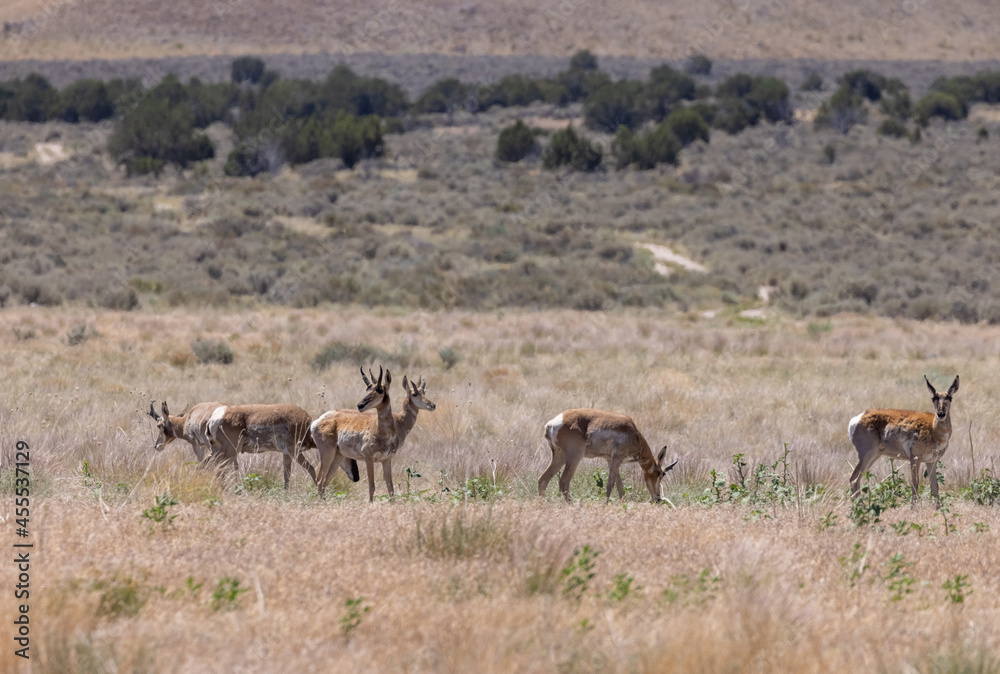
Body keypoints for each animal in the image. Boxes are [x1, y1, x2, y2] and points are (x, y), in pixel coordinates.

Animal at [208, 403, 359, 490]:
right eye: (348, 454)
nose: (357, 477)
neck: (307, 426)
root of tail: (215, 417)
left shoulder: (286, 454)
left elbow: (287, 474)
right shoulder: (294, 452)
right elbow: (311, 469)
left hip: (219, 452)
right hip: (231, 452)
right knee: (219, 469)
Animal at [313, 367, 431, 501]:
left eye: (380, 390)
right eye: (367, 389)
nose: (360, 405)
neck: (399, 420)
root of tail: (319, 420)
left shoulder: (387, 460)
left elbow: (390, 488)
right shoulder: (369, 459)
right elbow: (372, 487)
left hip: (338, 456)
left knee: (325, 480)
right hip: (327, 454)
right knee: (319, 480)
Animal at [539, 408, 678, 503]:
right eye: (661, 473)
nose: (658, 498)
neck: (634, 432)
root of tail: (552, 424)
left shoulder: (610, 460)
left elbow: (619, 485)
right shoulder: (617, 458)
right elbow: (610, 484)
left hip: (560, 457)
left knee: (543, 479)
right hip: (574, 457)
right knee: (563, 481)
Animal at [849, 375, 960, 507]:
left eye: (950, 398)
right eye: (933, 398)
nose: (941, 414)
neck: (933, 428)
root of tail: (860, 417)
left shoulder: (931, 461)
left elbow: (935, 486)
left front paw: (938, 509)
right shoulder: (915, 459)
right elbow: (915, 483)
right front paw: (913, 509)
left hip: (874, 456)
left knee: (856, 480)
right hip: (867, 455)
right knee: (853, 479)